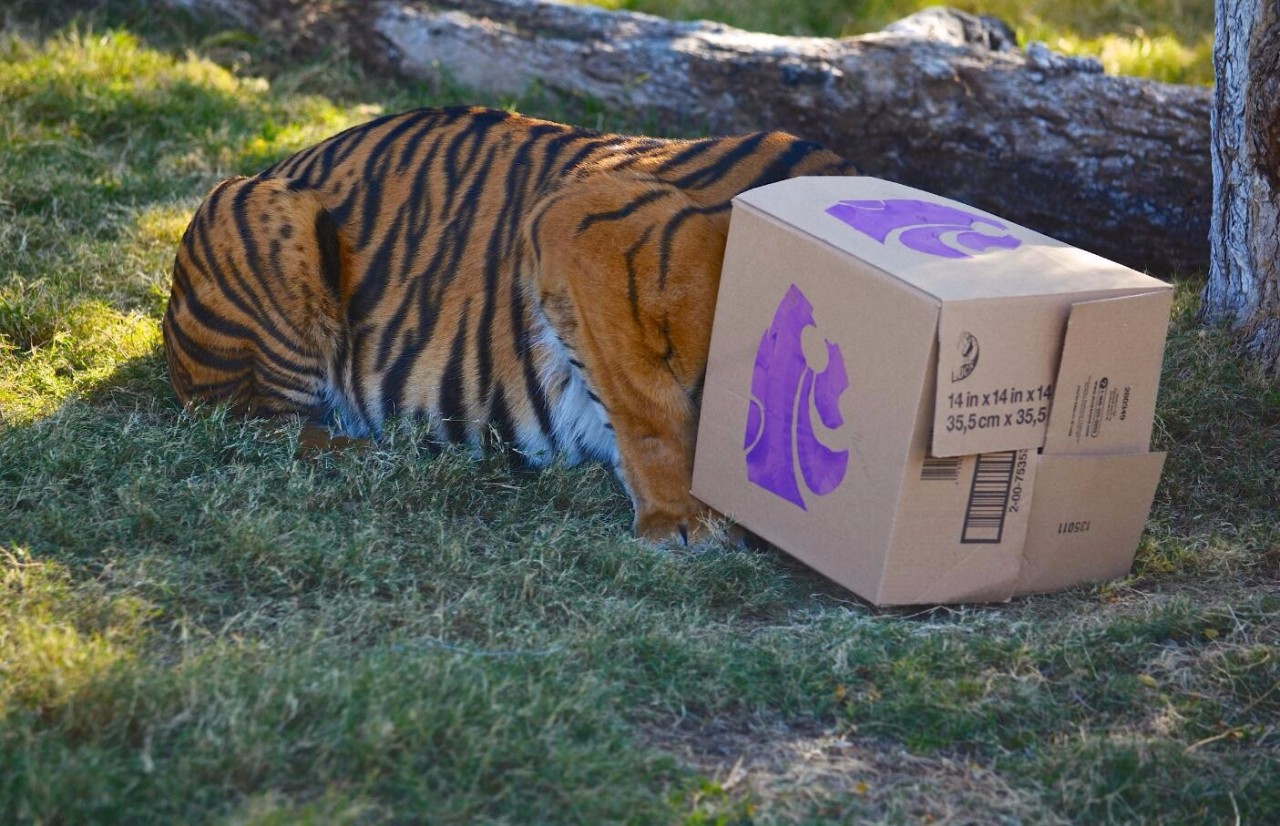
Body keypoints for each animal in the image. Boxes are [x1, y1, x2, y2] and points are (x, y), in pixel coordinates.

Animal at [162, 105, 858, 546]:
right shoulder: (581, 227)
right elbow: (647, 404)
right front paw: (685, 521)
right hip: (264, 215)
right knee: (257, 424)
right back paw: (393, 453)